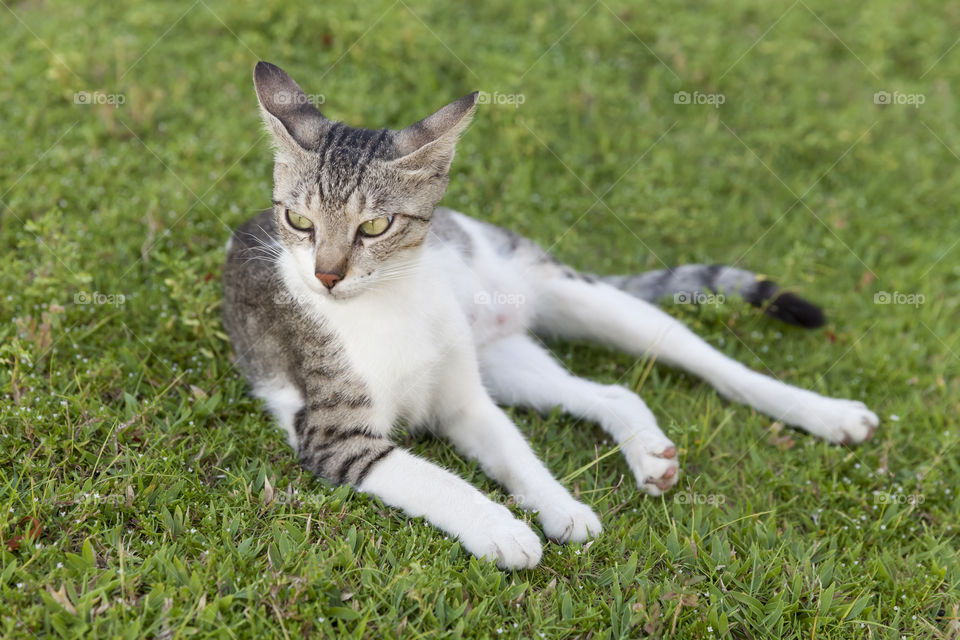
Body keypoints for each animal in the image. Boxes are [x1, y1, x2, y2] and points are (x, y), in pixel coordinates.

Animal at [223, 61, 876, 568]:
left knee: (715, 366)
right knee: (613, 392)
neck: (391, 302)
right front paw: (506, 527)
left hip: (580, 301)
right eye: (299, 221)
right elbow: (432, 476)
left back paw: (828, 413)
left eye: (375, 226)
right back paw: (649, 454)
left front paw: (558, 507)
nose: (326, 276)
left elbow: (515, 453)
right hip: (506, 363)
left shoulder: (464, 399)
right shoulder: (332, 435)